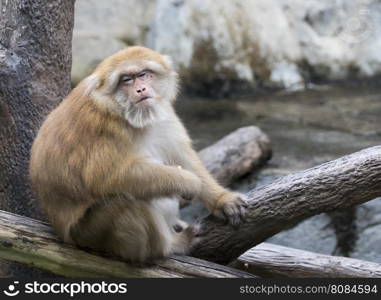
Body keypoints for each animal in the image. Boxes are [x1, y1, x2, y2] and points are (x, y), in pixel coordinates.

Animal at [29, 45, 246, 262]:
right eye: (126, 80)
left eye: (143, 75)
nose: (140, 89)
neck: (123, 112)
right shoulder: (104, 127)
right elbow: (106, 177)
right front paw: (187, 181)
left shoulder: (161, 111)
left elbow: (181, 154)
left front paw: (222, 200)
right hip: (89, 235)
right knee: (127, 200)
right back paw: (171, 246)